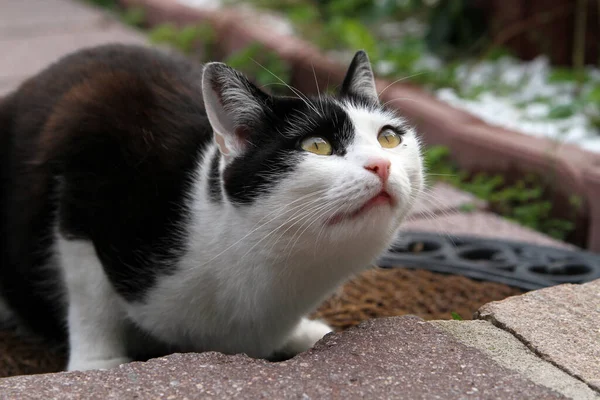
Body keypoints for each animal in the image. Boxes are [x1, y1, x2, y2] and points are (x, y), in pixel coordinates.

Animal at [0, 43, 422, 372]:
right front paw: (97, 365)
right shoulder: (89, 147)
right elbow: (89, 294)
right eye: (317, 145)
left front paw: (302, 332)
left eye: (388, 137)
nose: (381, 165)